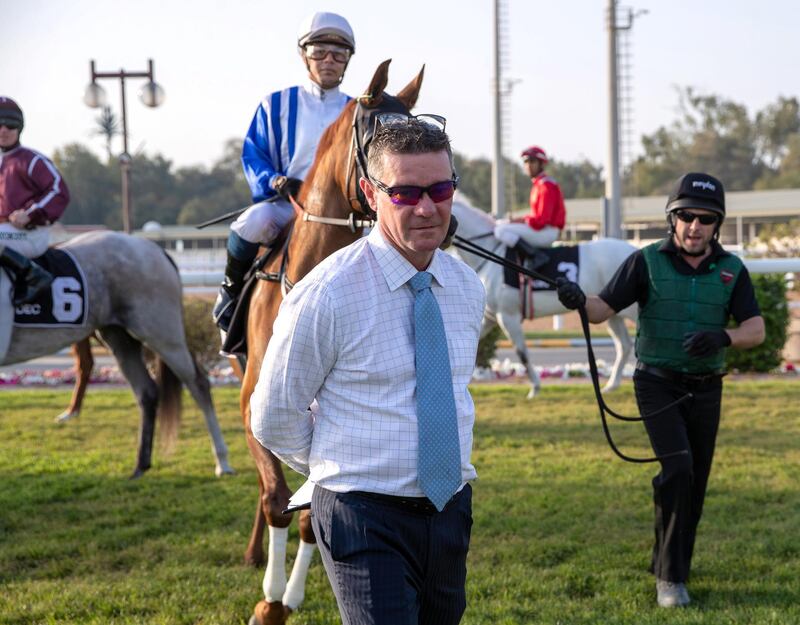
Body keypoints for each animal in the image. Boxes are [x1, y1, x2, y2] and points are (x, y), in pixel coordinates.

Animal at [2, 230, 234, 478]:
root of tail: (154, 248)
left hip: (163, 335)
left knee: (198, 384)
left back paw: (222, 462)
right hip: (118, 338)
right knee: (146, 391)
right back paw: (140, 465)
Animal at [450, 197, 636, 398]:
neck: (490, 252)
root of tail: (634, 251)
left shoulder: (508, 316)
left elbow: (522, 352)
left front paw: (535, 387)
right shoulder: (490, 317)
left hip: (631, 310)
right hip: (612, 312)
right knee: (624, 345)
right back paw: (612, 385)